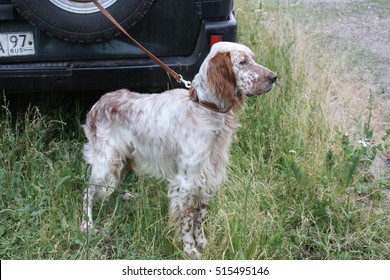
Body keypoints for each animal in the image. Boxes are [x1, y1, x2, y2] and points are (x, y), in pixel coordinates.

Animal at [80, 41, 278, 258]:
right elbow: (188, 219)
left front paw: (203, 243)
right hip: (106, 163)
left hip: (122, 160)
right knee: (87, 192)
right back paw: (87, 224)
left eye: (253, 59)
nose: (274, 77)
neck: (205, 110)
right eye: (243, 62)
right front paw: (189, 248)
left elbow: (200, 216)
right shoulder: (187, 182)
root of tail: (98, 103)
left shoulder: (207, 177)